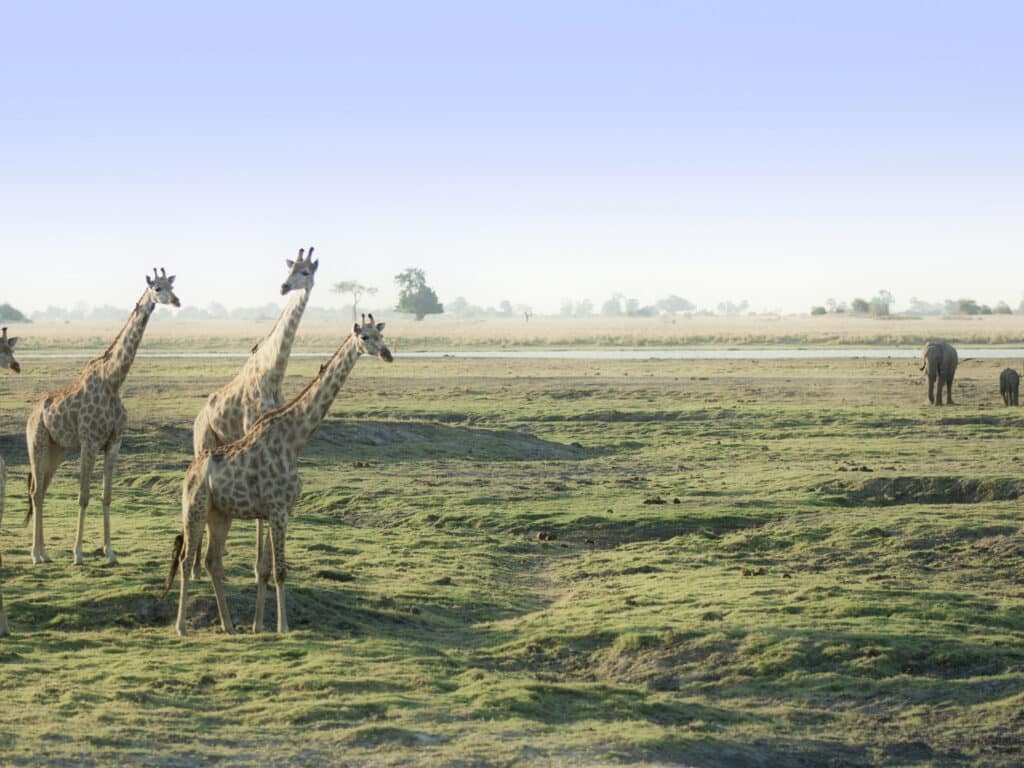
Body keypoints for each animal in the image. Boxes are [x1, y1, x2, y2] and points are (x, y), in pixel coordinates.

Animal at [26, 269, 180, 566]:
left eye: (173, 285)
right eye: (156, 287)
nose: (177, 301)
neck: (114, 382)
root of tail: (31, 414)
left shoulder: (113, 443)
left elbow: (106, 496)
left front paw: (110, 552)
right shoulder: (89, 442)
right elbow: (83, 496)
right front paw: (77, 554)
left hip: (57, 450)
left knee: (41, 491)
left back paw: (45, 553)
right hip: (37, 444)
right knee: (36, 492)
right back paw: (36, 555)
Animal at [165, 314, 393, 636]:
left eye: (382, 334)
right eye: (365, 337)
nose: (387, 354)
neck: (294, 439)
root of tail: (189, 473)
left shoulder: (279, 510)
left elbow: (268, 568)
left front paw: (261, 624)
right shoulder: (277, 509)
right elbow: (280, 570)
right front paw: (283, 626)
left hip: (220, 514)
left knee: (213, 561)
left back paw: (229, 625)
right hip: (194, 510)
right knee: (186, 560)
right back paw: (182, 627)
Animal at [190, 246, 318, 578]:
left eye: (306, 272)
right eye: (289, 269)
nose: (284, 287)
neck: (273, 372)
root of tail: (197, 418)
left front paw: (264, 565)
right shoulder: (253, 430)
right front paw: (259, 567)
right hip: (204, 442)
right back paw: (195, 567)